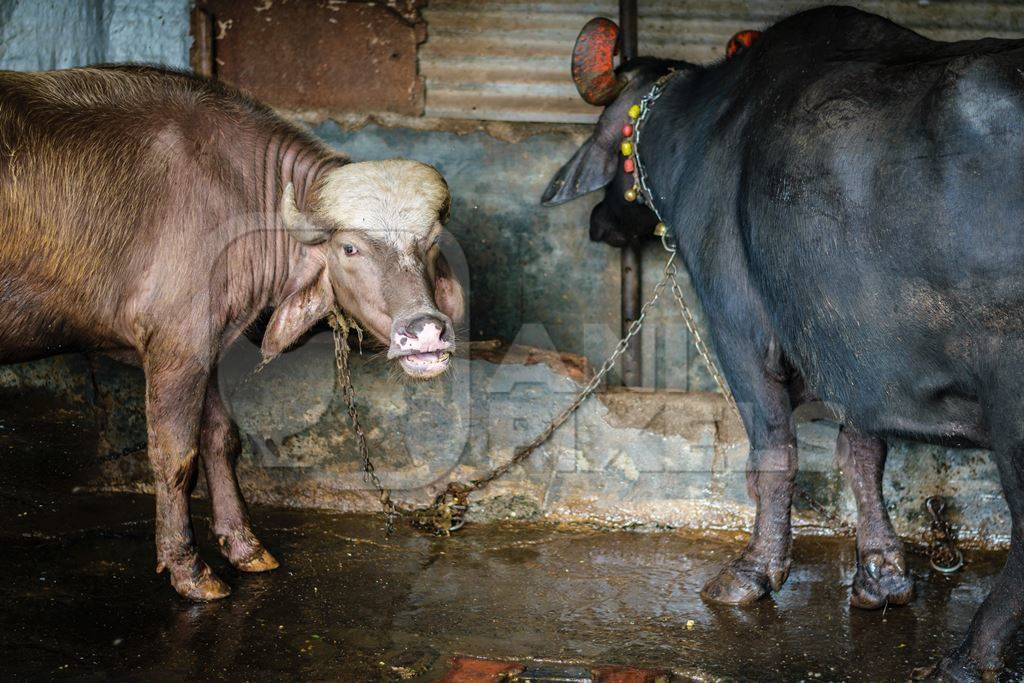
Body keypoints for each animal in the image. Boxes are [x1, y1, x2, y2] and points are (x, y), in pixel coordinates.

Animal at [0, 63, 464, 598]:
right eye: (349, 248)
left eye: (431, 242)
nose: (425, 332)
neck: (237, 195)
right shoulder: (177, 347)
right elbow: (176, 456)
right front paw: (188, 569)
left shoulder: (210, 347)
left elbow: (221, 440)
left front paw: (245, 546)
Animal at [548, 7, 1024, 679]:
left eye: (616, 148)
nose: (598, 224)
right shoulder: (855, 350)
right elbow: (862, 455)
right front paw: (881, 577)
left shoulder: (740, 330)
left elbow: (774, 453)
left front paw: (752, 573)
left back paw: (967, 656)